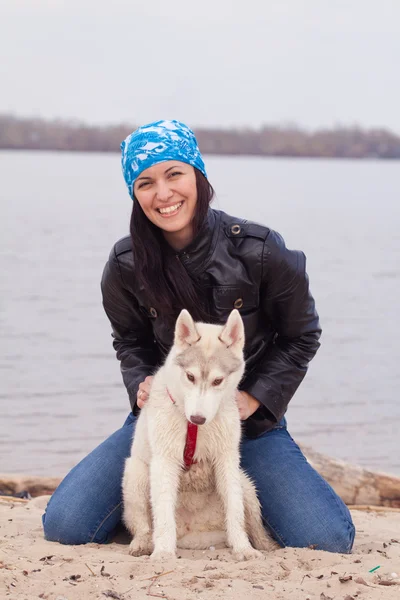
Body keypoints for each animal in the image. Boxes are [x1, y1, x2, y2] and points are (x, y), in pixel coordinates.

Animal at [123, 310, 276, 564]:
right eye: (190, 376)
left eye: (217, 381)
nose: (198, 418)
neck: (193, 430)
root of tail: (192, 532)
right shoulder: (164, 462)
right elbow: (163, 514)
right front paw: (163, 552)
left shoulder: (227, 461)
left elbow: (235, 511)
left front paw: (243, 549)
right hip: (135, 474)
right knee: (143, 525)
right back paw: (142, 544)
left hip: (246, 485)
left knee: (253, 526)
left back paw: (263, 545)